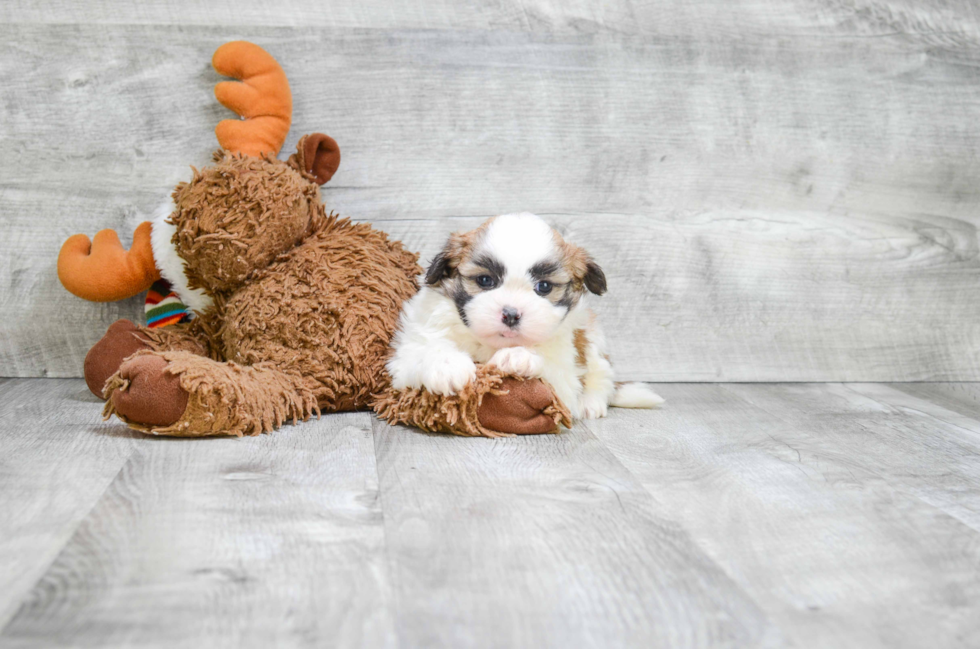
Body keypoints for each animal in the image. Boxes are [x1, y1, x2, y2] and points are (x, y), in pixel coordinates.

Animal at [386, 210, 664, 418]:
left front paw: (519, 356)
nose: (511, 314)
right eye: (485, 280)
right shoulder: (404, 358)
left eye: (544, 287)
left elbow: (551, 371)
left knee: (602, 376)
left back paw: (591, 402)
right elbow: (422, 353)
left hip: (594, 341)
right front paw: (447, 366)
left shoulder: (564, 380)